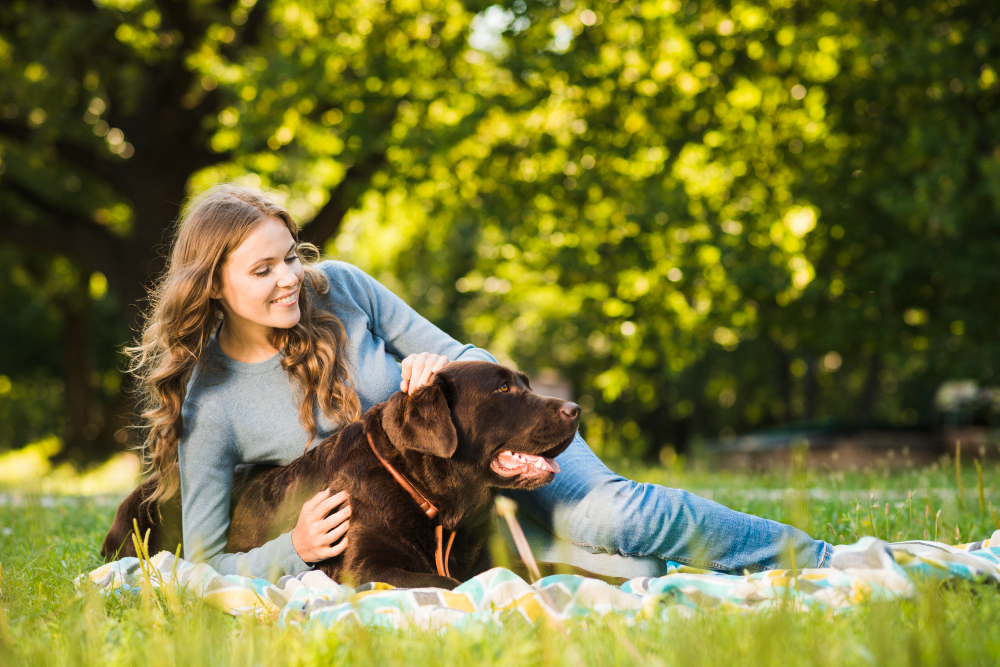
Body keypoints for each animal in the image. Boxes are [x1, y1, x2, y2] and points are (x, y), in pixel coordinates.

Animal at [101, 360, 580, 588]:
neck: (430, 498)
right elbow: (448, 581)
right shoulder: (364, 568)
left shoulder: (489, 557)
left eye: (526, 383)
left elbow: (552, 566)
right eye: (503, 388)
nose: (576, 410)